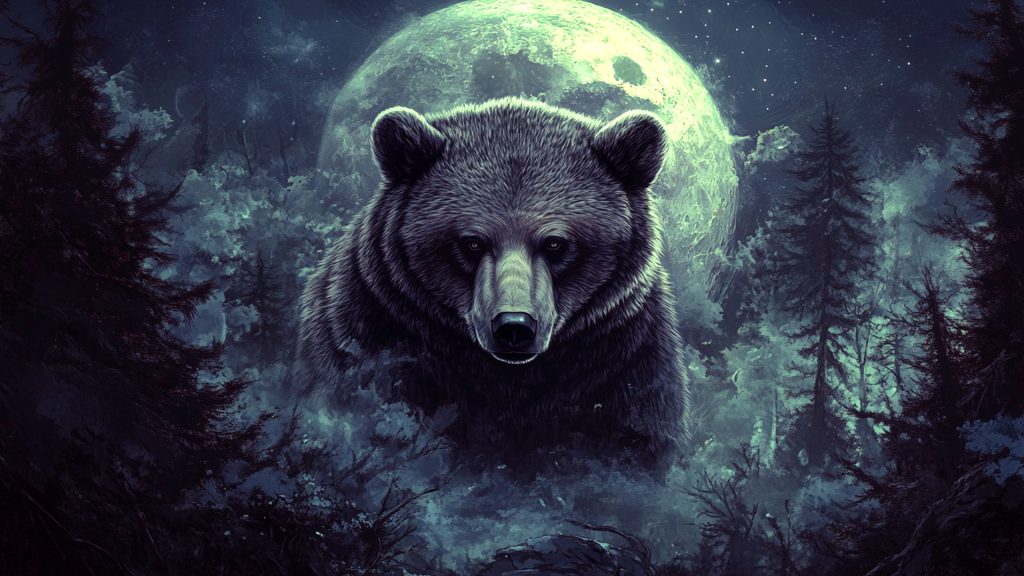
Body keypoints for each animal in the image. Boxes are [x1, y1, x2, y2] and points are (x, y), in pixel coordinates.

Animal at [296, 97, 689, 468]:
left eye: (555, 243)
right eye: (472, 242)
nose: (514, 326)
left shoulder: (625, 361)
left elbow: (639, 428)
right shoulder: (366, 331)